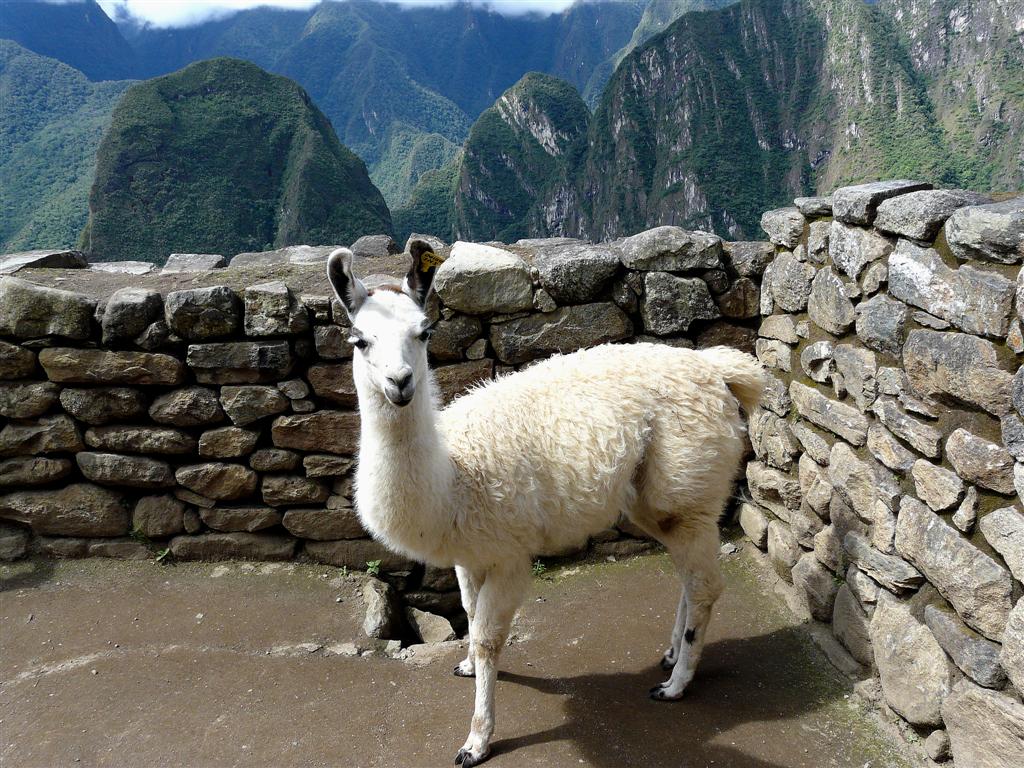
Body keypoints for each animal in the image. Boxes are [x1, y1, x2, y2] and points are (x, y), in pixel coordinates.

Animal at [327, 242, 765, 767]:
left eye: (424, 331)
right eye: (359, 340)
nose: (400, 382)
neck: (454, 475)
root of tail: (716, 369)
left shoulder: (509, 554)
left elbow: (489, 638)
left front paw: (476, 739)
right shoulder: (469, 553)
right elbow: (468, 614)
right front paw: (466, 667)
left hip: (688, 488)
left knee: (704, 586)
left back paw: (675, 685)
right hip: (655, 500)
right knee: (687, 576)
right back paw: (673, 654)